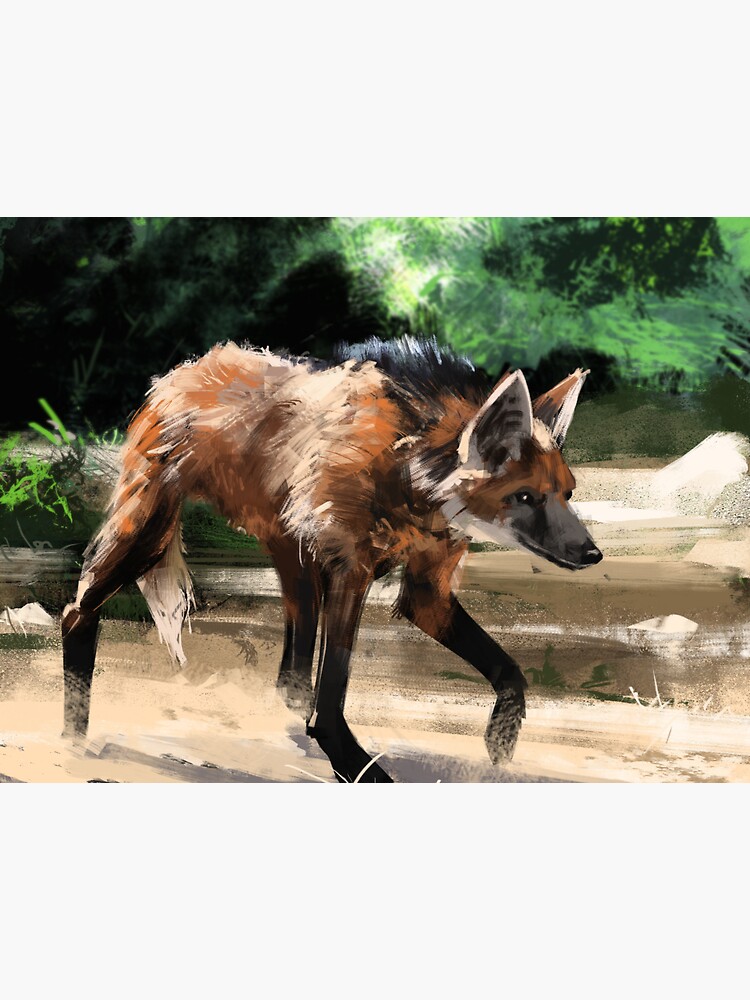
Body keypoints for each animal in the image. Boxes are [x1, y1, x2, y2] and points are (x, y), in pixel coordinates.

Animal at [62, 336, 601, 782]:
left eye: (568, 494)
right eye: (526, 498)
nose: (592, 553)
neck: (406, 475)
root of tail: (181, 370)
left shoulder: (425, 591)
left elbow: (510, 672)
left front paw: (502, 738)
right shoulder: (352, 568)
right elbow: (332, 696)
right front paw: (352, 764)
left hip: (293, 561)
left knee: (290, 679)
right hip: (148, 537)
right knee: (76, 612)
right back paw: (72, 735)